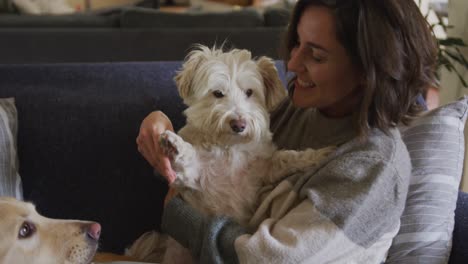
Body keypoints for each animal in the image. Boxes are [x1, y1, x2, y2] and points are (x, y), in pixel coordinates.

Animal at [126, 44, 334, 262]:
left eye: (249, 92)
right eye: (217, 93)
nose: (239, 124)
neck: (229, 148)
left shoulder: (263, 168)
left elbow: (285, 158)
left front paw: (317, 156)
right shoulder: (196, 176)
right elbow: (189, 158)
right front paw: (174, 144)